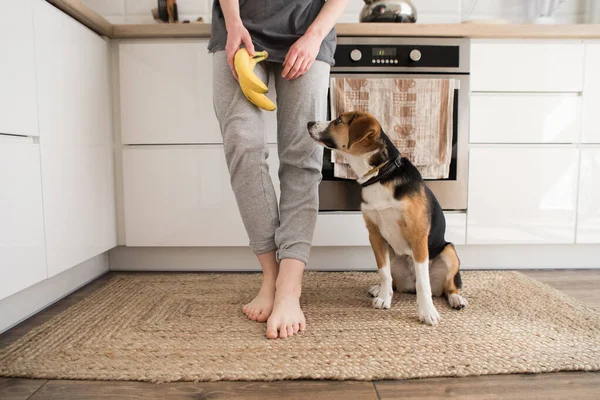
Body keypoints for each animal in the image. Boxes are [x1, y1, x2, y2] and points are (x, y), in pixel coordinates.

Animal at [310, 110, 468, 324]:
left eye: (339, 121)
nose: (309, 123)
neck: (380, 175)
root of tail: (408, 285)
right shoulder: (375, 235)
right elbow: (384, 273)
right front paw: (384, 298)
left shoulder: (418, 236)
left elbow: (423, 283)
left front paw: (427, 311)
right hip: (392, 252)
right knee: (394, 280)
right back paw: (379, 289)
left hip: (449, 251)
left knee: (448, 285)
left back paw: (456, 299)